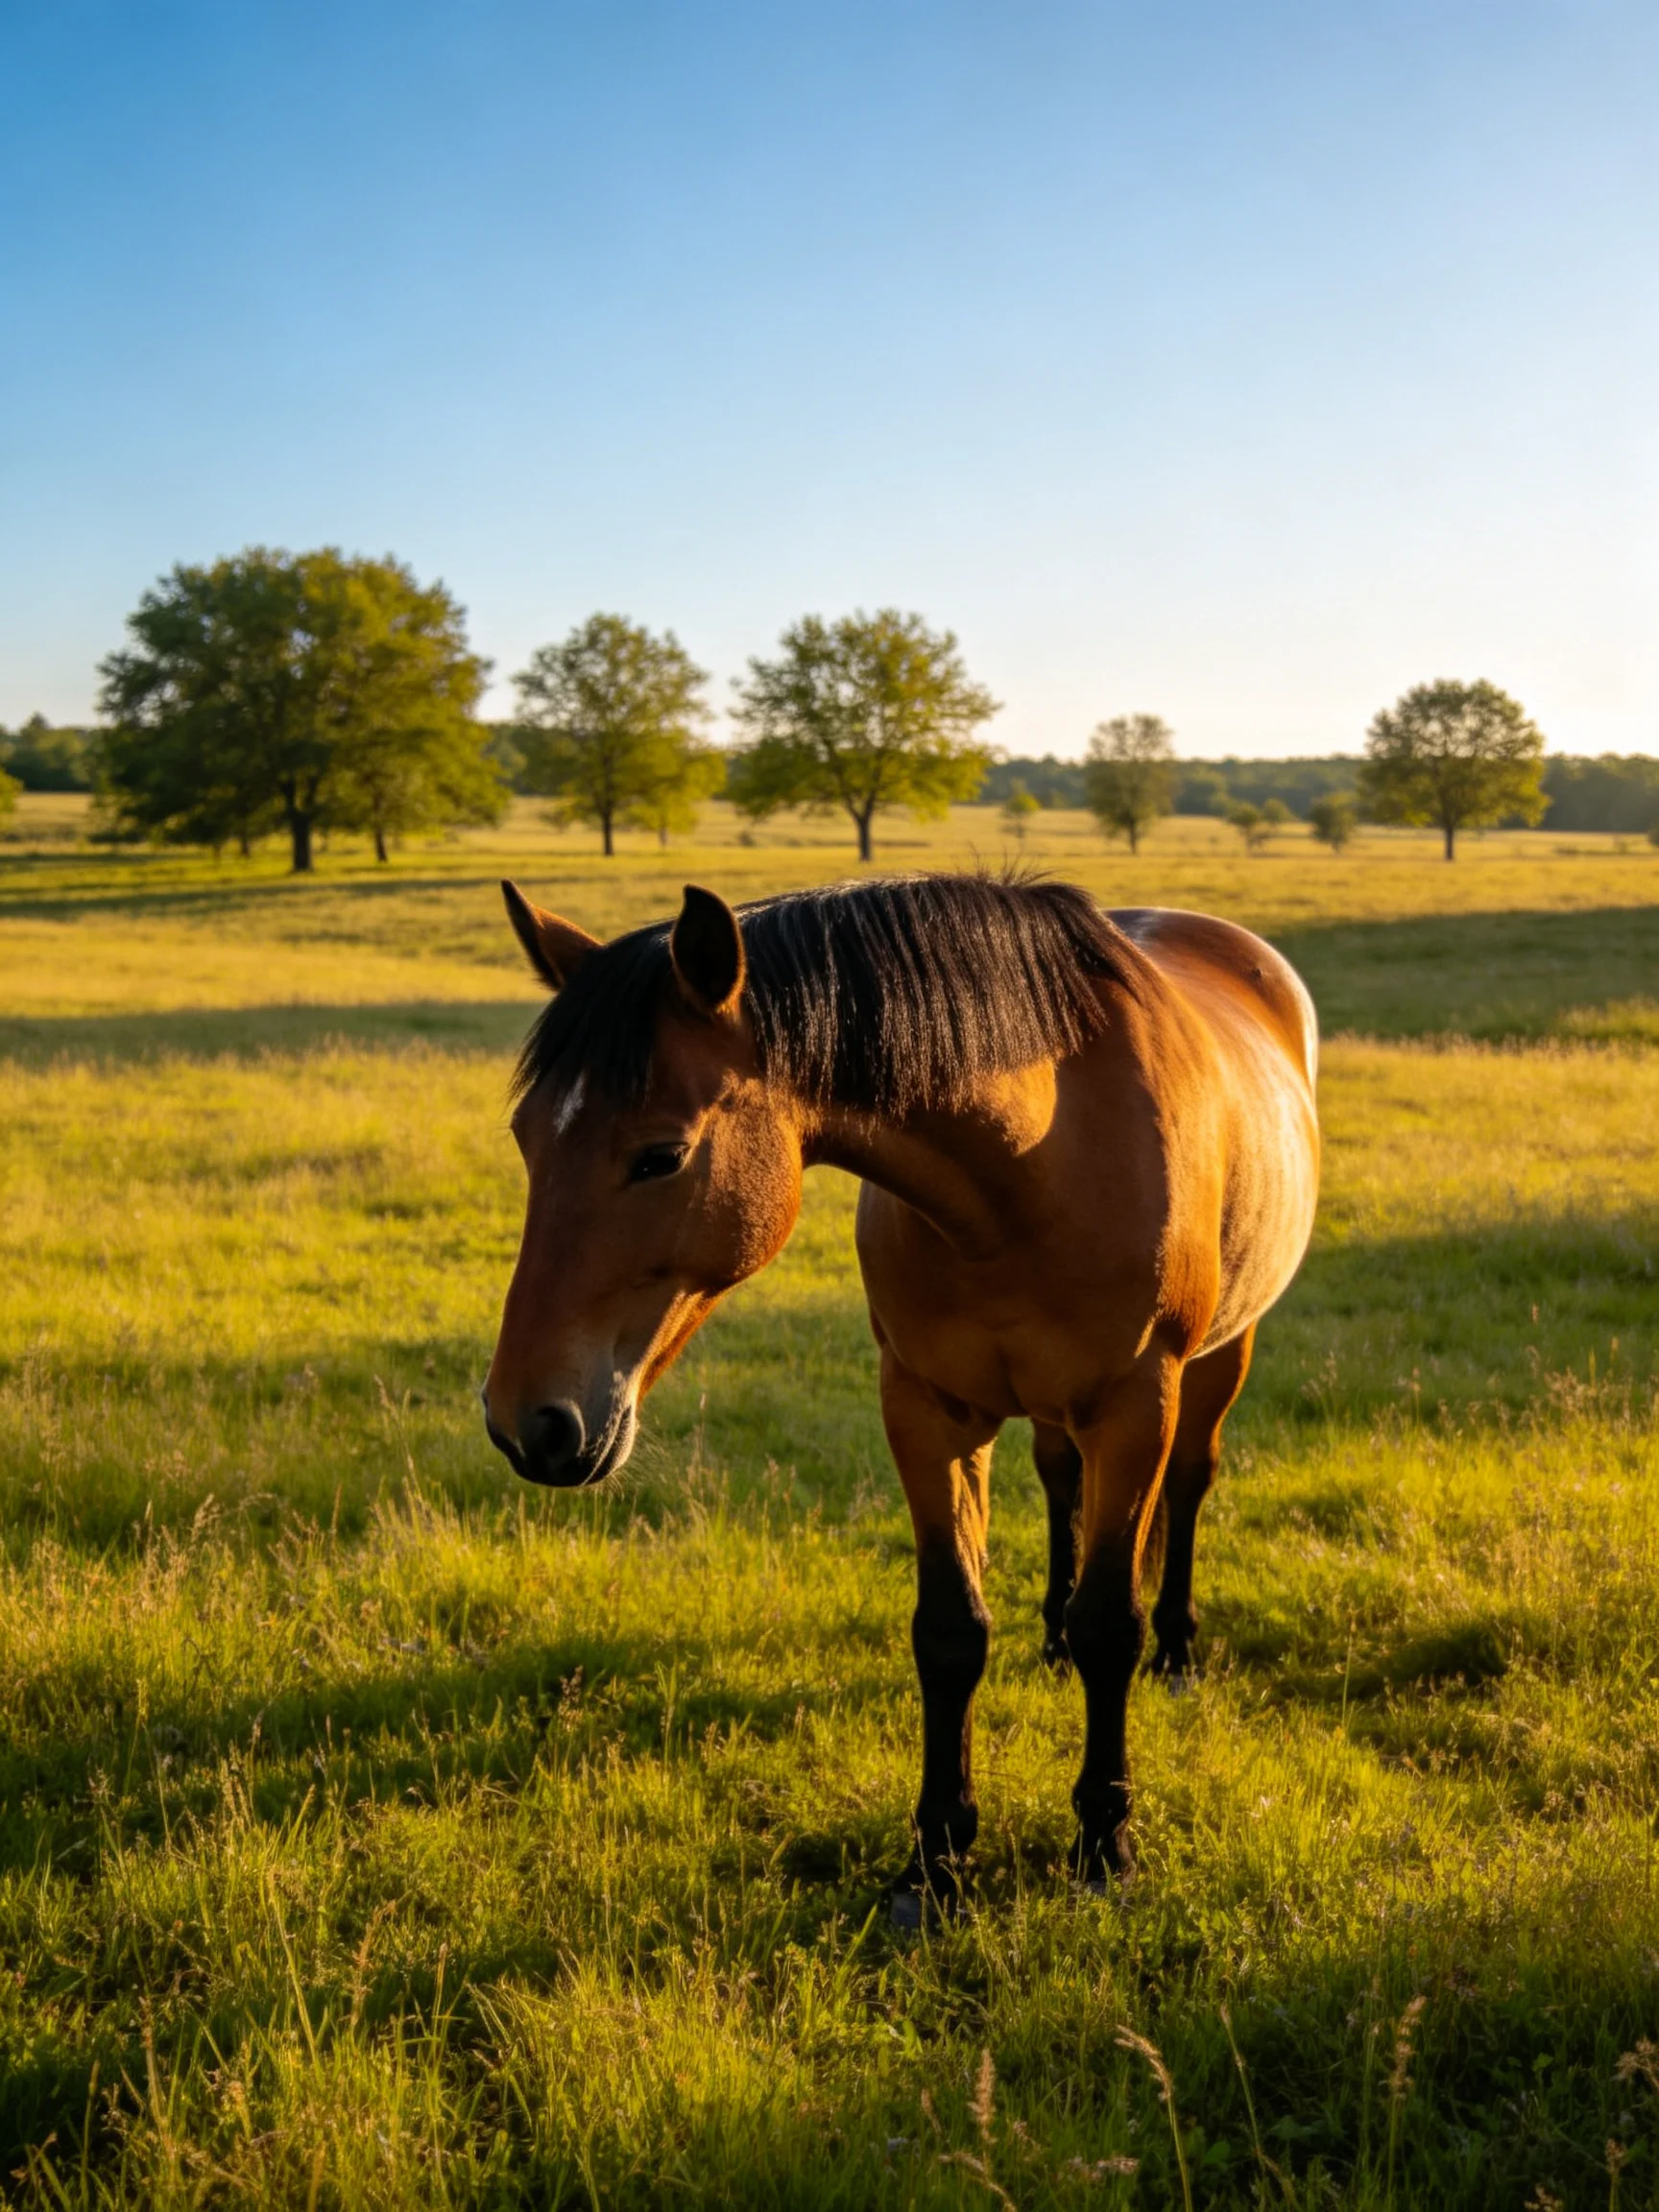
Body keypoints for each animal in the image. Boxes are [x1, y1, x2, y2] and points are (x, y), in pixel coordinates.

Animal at [484, 872, 1320, 1912]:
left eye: (660, 1156)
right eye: (525, 1138)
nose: (526, 1424)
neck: (1033, 1165)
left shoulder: (1135, 1408)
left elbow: (1109, 1626)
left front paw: (1104, 1847)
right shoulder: (927, 1411)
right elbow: (951, 1631)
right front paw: (936, 1859)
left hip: (1219, 1358)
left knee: (1191, 1487)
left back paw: (1176, 1651)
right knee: (1060, 1481)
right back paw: (1049, 1638)